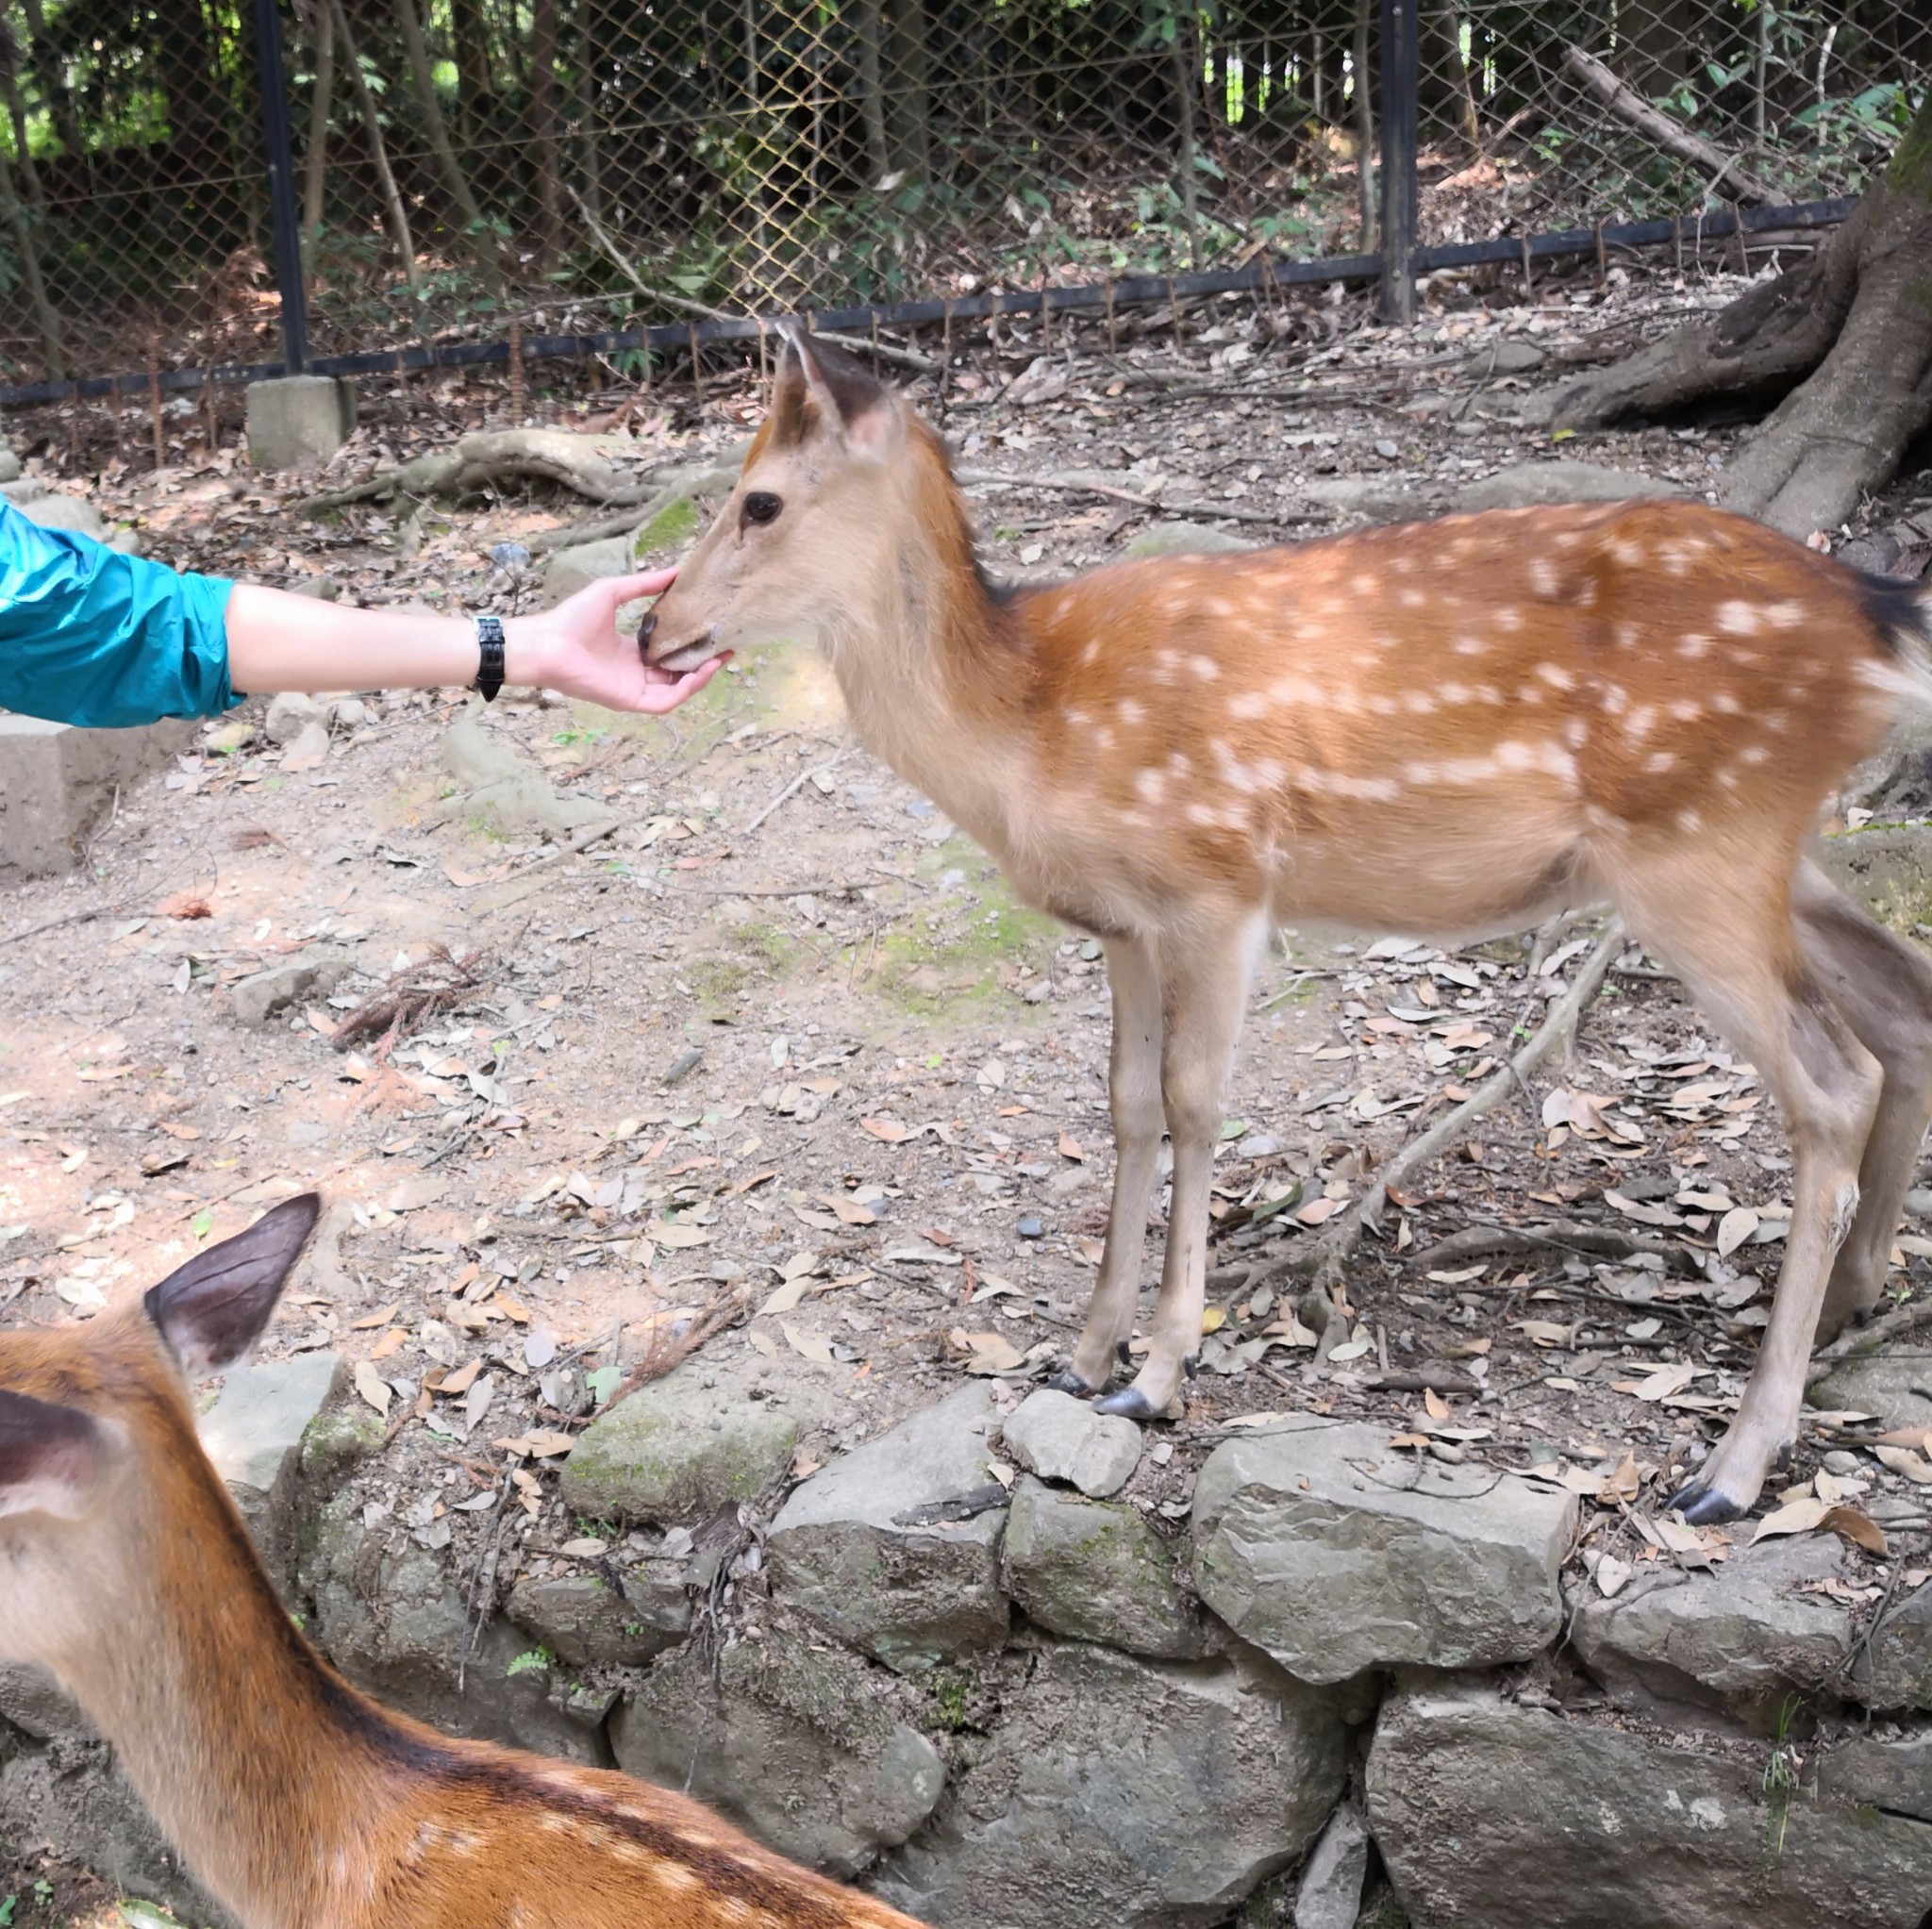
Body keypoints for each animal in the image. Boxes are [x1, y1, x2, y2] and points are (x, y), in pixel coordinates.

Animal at [645, 332, 1932, 1529]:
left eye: (760, 499)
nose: (657, 628)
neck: (1025, 725)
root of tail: (1875, 624)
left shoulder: (1217, 881)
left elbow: (1194, 1102)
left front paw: (1157, 1369)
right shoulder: (1118, 923)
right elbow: (1124, 1105)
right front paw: (1083, 1349)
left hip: (1694, 845)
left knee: (1830, 1079)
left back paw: (1733, 1463)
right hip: (1765, 846)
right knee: (1902, 1005)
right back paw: (1855, 1297)